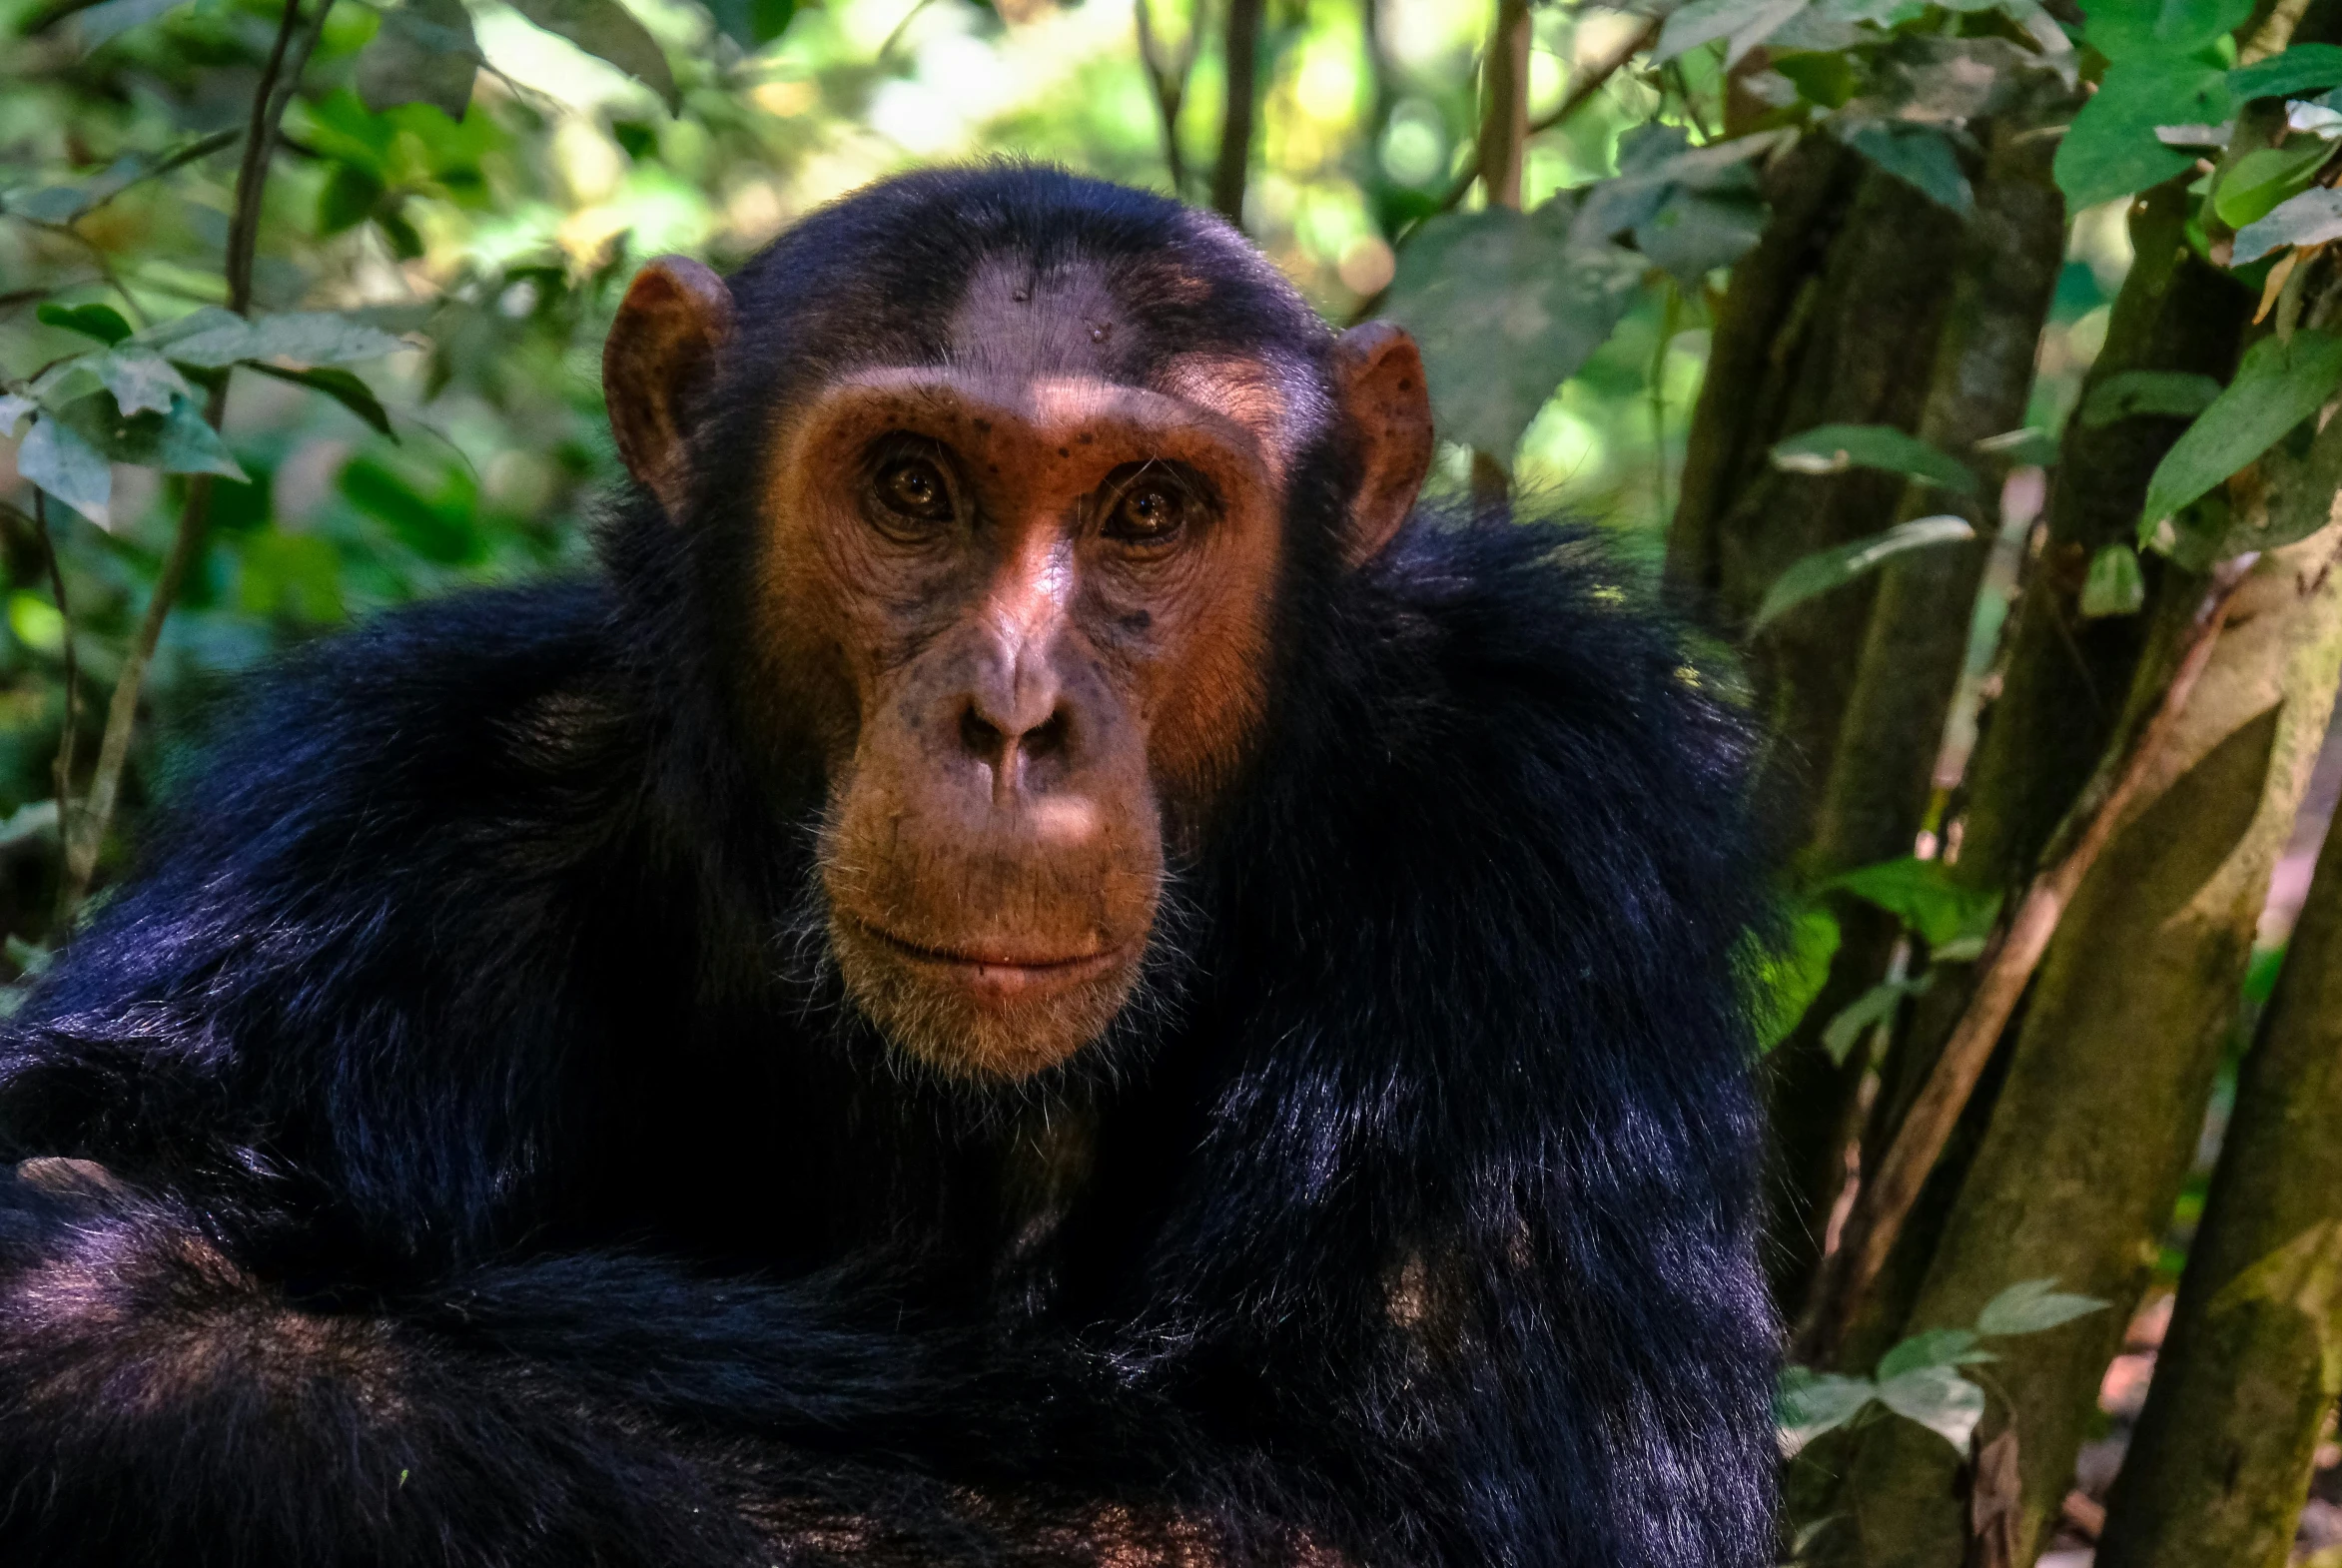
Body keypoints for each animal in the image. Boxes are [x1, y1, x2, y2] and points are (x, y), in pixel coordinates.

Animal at [0, 168, 1770, 1568]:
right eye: (911, 486)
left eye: (1149, 510)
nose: (1013, 714)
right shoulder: (366, 835)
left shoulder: (1536, 833)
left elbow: (1386, 1509)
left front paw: (100, 1331)